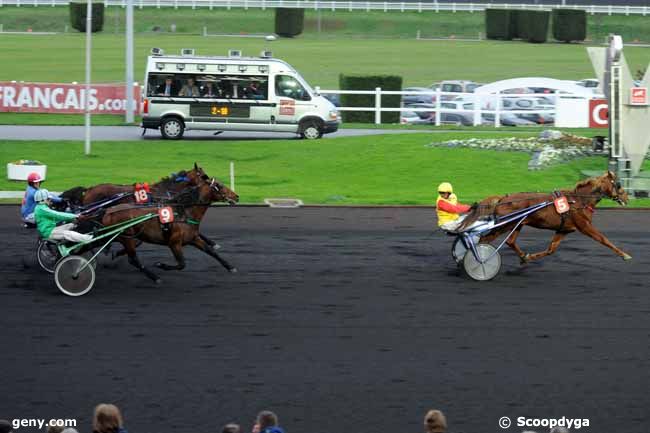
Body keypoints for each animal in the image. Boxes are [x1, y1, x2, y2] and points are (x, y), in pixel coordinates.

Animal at [92, 174, 239, 282]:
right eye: (219, 186)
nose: (236, 196)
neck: (183, 212)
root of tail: (108, 210)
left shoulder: (193, 238)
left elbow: (211, 252)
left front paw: (230, 267)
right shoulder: (174, 243)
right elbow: (181, 264)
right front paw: (160, 265)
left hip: (120, 236)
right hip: (126, 237)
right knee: (133, 259)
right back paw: (155, 277)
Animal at [458, 172, 632, 264]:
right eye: (618, 184)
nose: (626, 197)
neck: (578, 201)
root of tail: (502, 198)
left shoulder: (564, 229)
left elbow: (551, 249)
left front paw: (529, 257)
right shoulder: (584, 226)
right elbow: (604, 239)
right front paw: (625, 255)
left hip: (518, 224)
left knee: (510, 241)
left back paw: (522, 256)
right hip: (505, 225)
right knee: (484, 240)